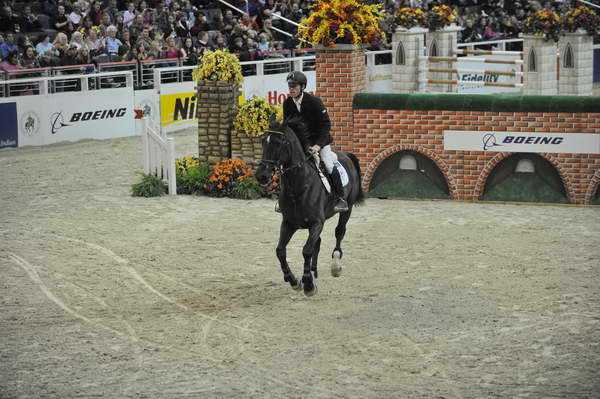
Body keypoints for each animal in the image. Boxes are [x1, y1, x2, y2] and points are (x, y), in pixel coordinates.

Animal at [254, 117, 366, 296]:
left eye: (280, 143)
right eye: (264, 141)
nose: (261, 176)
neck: (298, 187)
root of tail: (346, 155)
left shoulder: (316, 223)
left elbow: (306, 250)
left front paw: (308, 284)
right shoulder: (289, 224)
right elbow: (280, 251)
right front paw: (293, 280)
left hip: (346, 209)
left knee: (339, 232)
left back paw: (335, 266)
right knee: (317, 243)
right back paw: (314, 270)